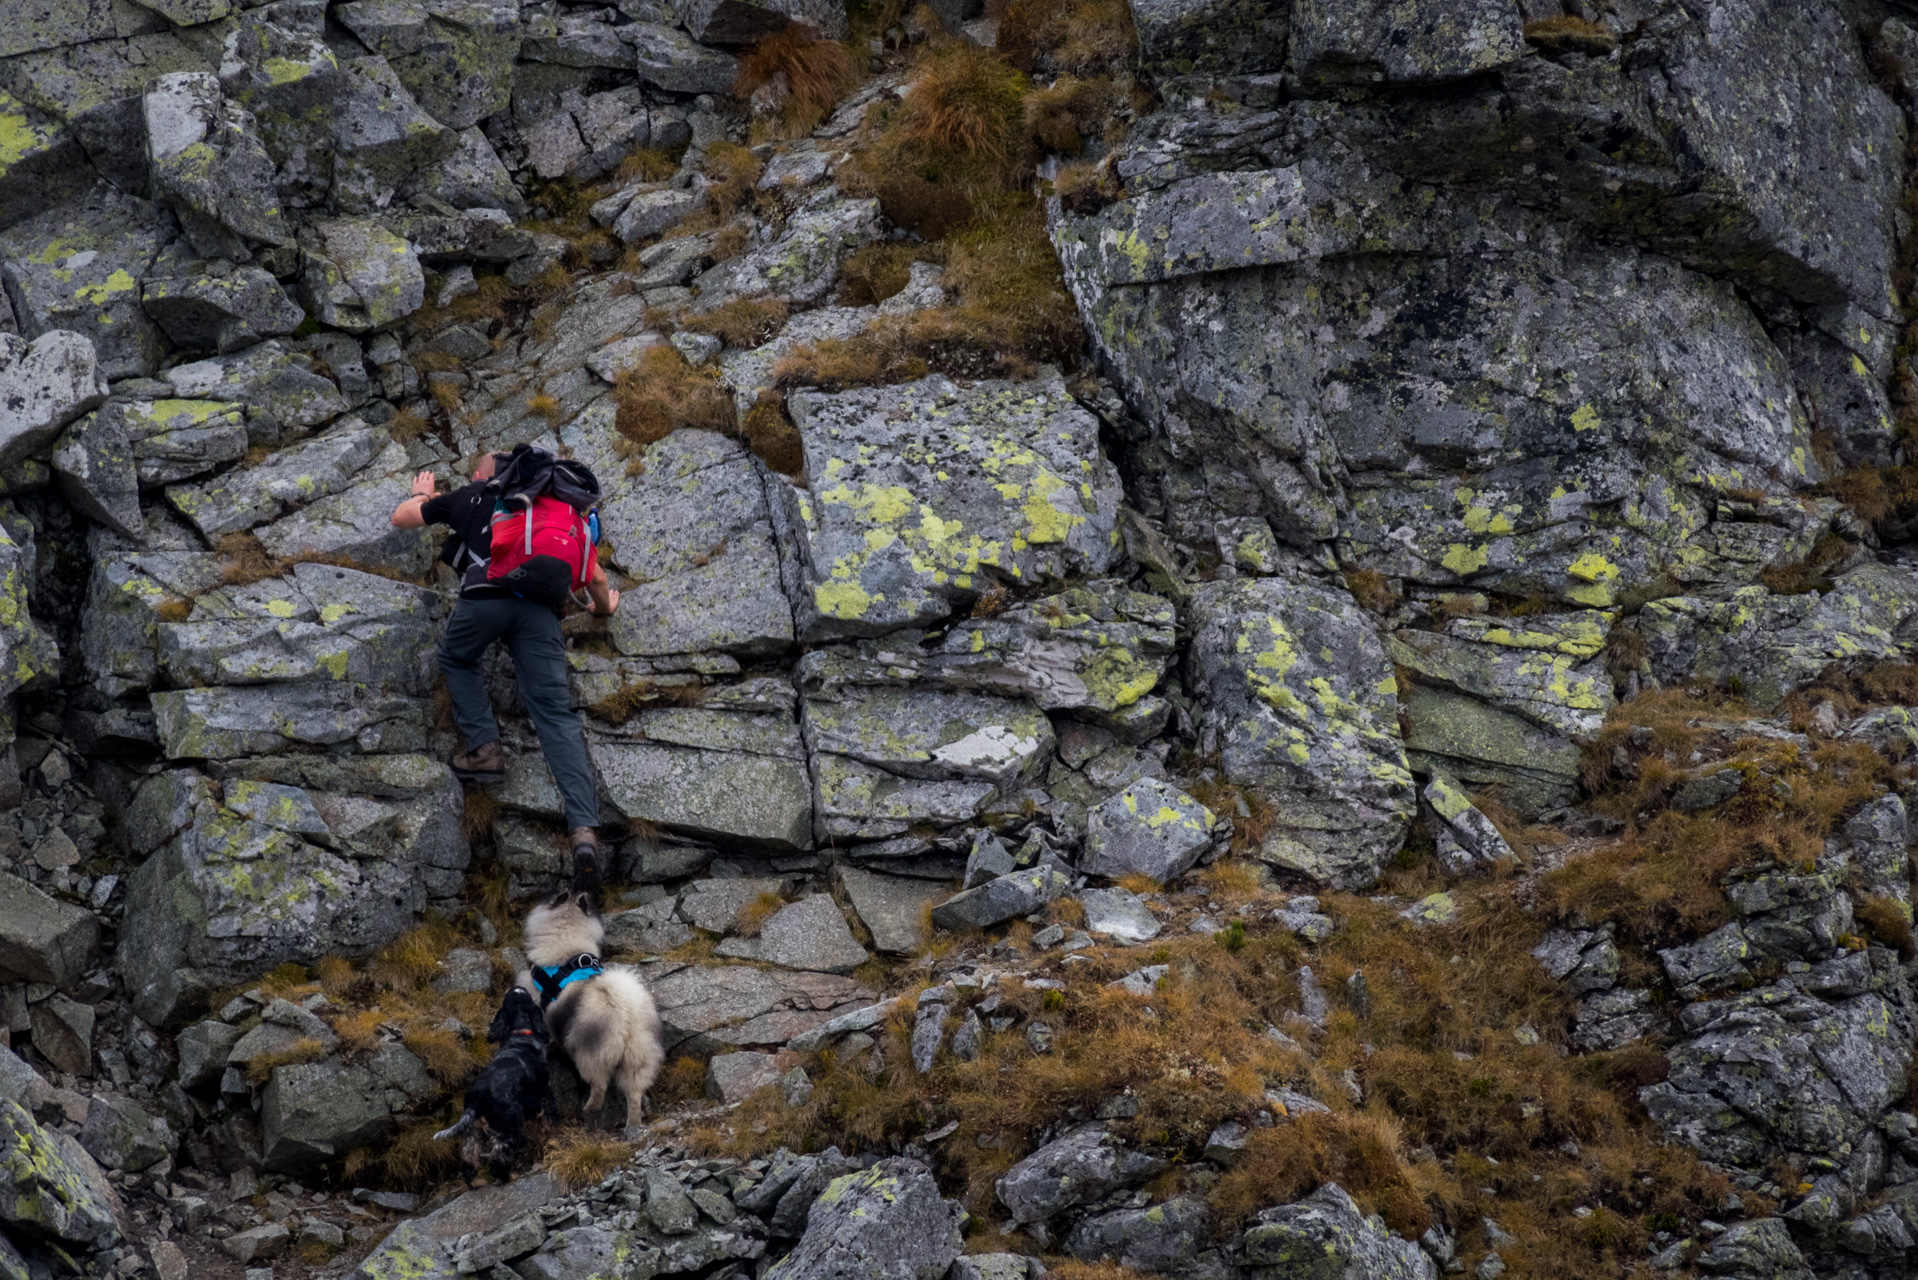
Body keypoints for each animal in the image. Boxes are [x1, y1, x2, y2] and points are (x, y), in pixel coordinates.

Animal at [433, 990, 552, 1182]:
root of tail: (476, 1099)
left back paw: (476, 1182)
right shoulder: (543, 1094)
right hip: (508, 1125)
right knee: (498, 1157)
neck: (519, 1035)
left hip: (473, 1128)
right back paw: (508, 1176)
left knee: (469, 1157)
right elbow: (548, 1121)